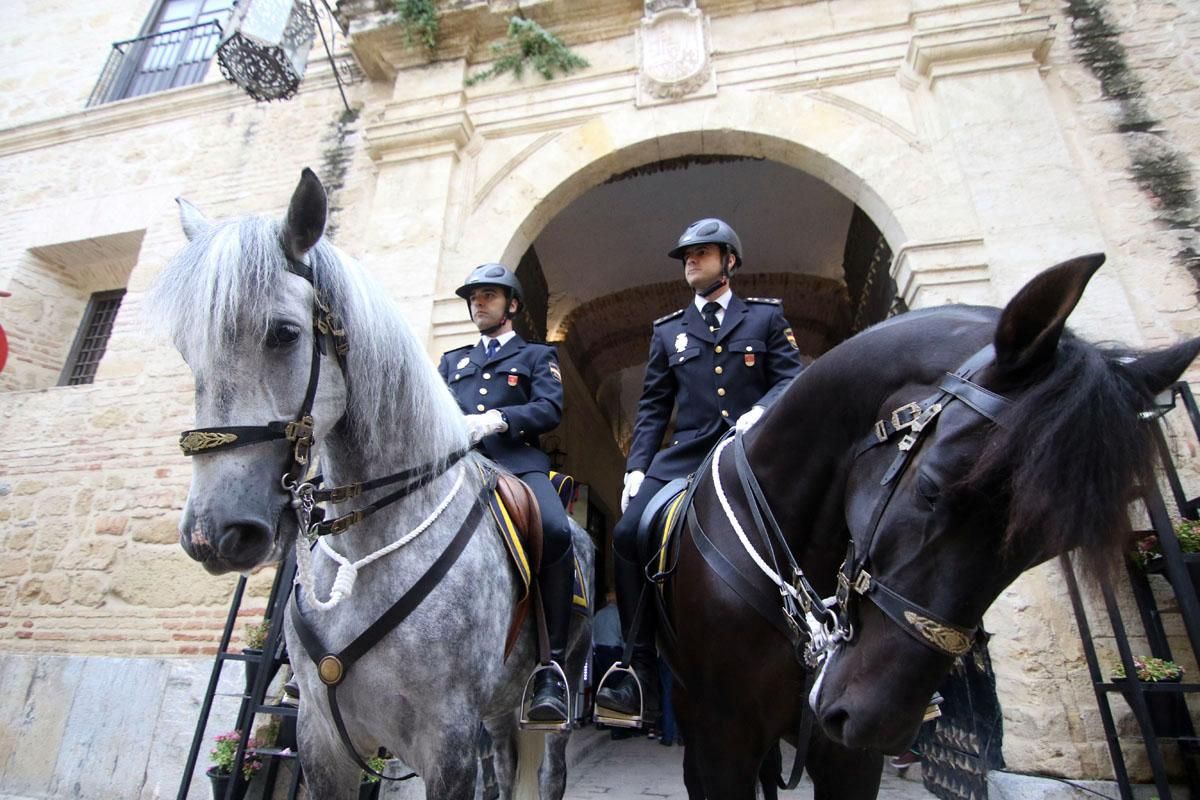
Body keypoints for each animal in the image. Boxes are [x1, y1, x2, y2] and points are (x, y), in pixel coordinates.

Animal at [152, 169, 592, 800]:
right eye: (188, 351)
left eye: (284, 334)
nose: (214, 534)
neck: (369, 548)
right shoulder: (320, 735)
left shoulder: (446, 738)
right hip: (496, 711)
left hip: (552, 694)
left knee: (550, 767)